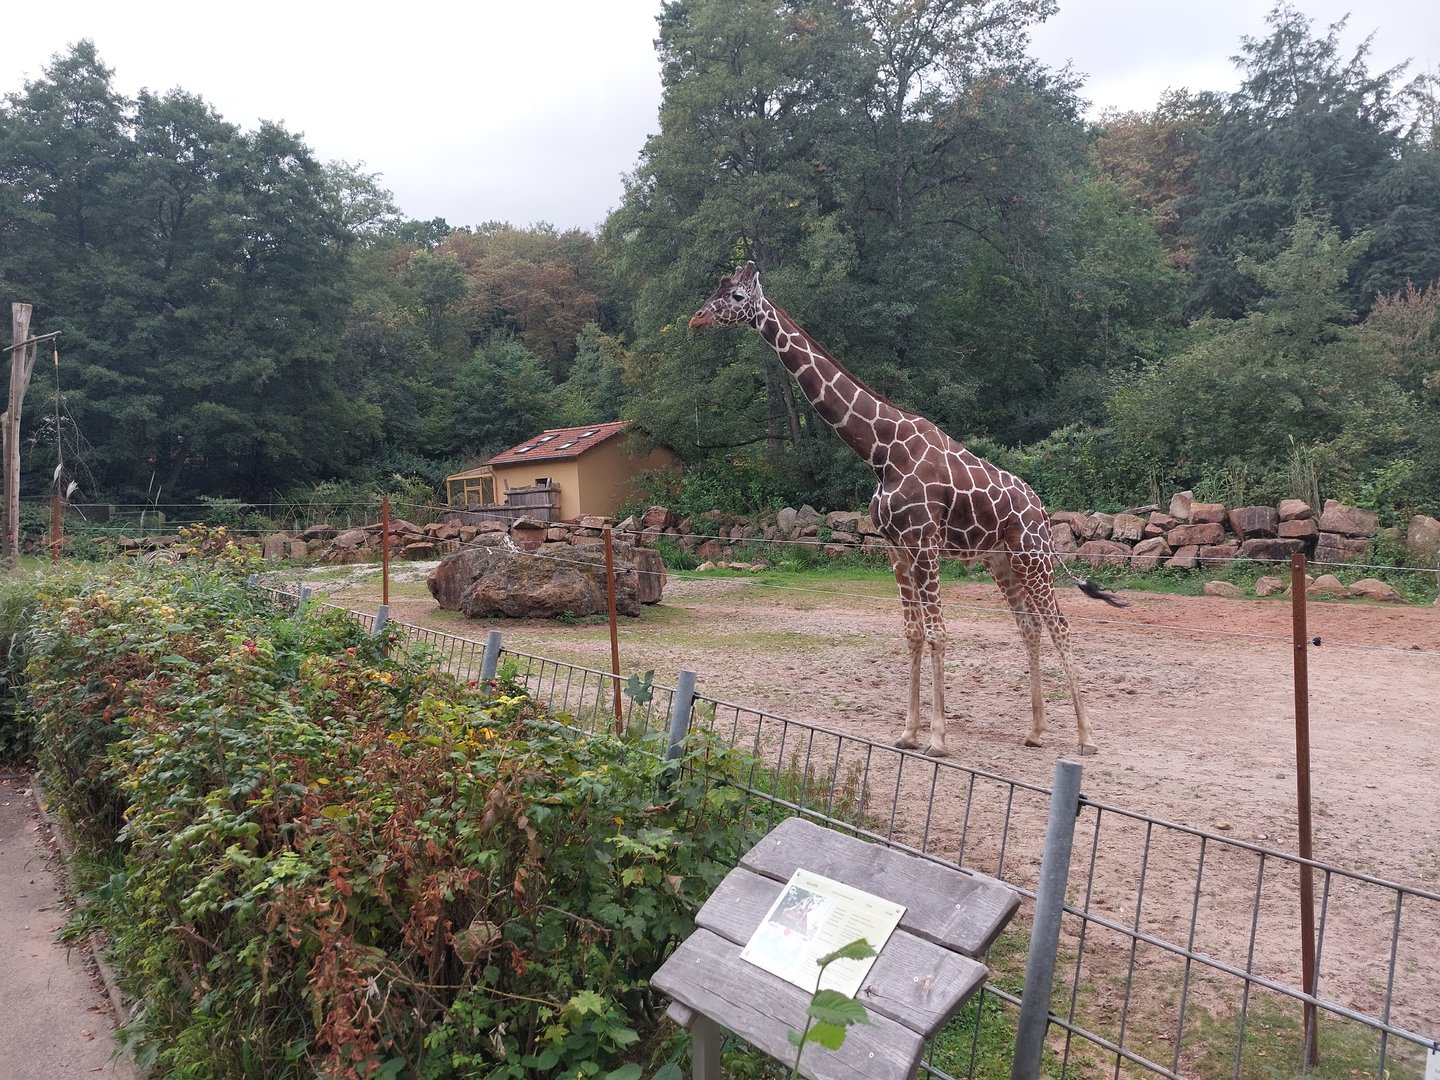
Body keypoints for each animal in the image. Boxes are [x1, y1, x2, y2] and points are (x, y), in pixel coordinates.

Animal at [689, 261, 1125, 758]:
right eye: (717, 289)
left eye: (738, 296)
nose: (696, 318)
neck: (881, 453)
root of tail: (1043, 510)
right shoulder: (896, 549)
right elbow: (913, 632)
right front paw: (908, 733)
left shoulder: (923, 544)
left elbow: (938, 632)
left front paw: (937, 738)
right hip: (1002, 560)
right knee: (1030, 626)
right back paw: (1034, 732)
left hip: (1033, 557)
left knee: (1060, 625)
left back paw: (1086, 738)